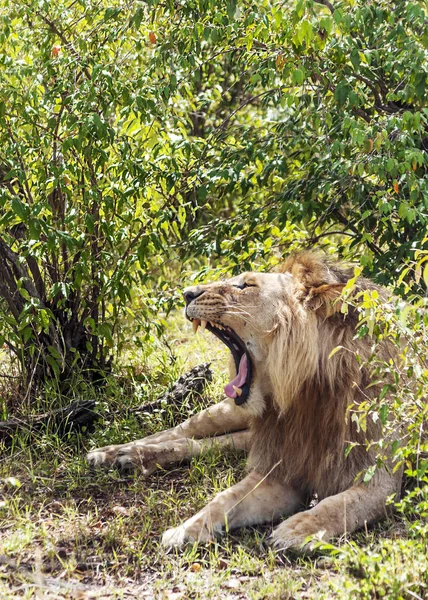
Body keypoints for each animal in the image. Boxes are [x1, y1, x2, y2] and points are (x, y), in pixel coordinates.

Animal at [87, 251, 402, 552]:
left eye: (245, 285)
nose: (187, 293)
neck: (304, 393)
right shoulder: (281, 466)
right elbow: (225, 497)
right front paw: (185, 529)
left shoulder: (380, 479)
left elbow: (339, 505)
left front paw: (298, 528)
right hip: (226, 411)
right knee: (181, 431)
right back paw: (116, 453)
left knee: (205, 444)